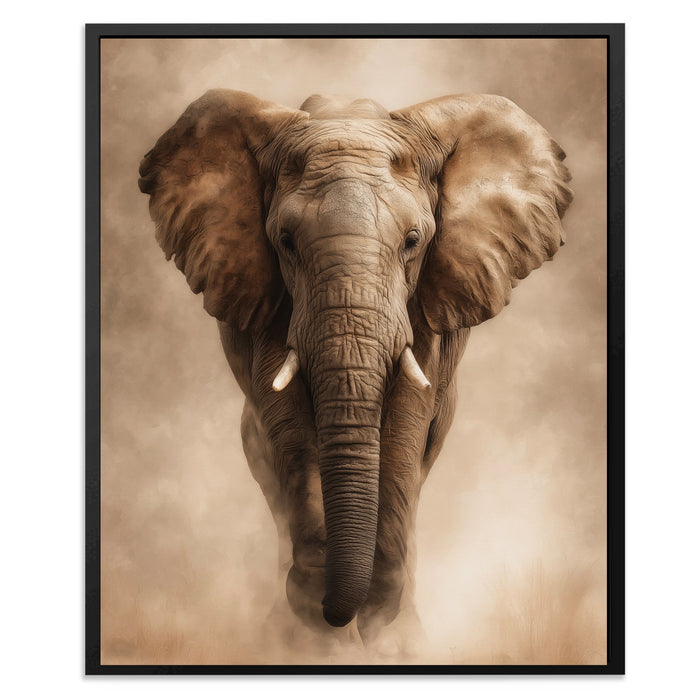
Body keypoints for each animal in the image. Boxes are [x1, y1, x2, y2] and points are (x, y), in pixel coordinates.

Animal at [138, 89, 572, 655]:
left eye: (413, 241)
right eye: (285, 241)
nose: (340, 612)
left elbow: (406, 425)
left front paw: (386, 639)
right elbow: (290, 426)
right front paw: (318, 647)